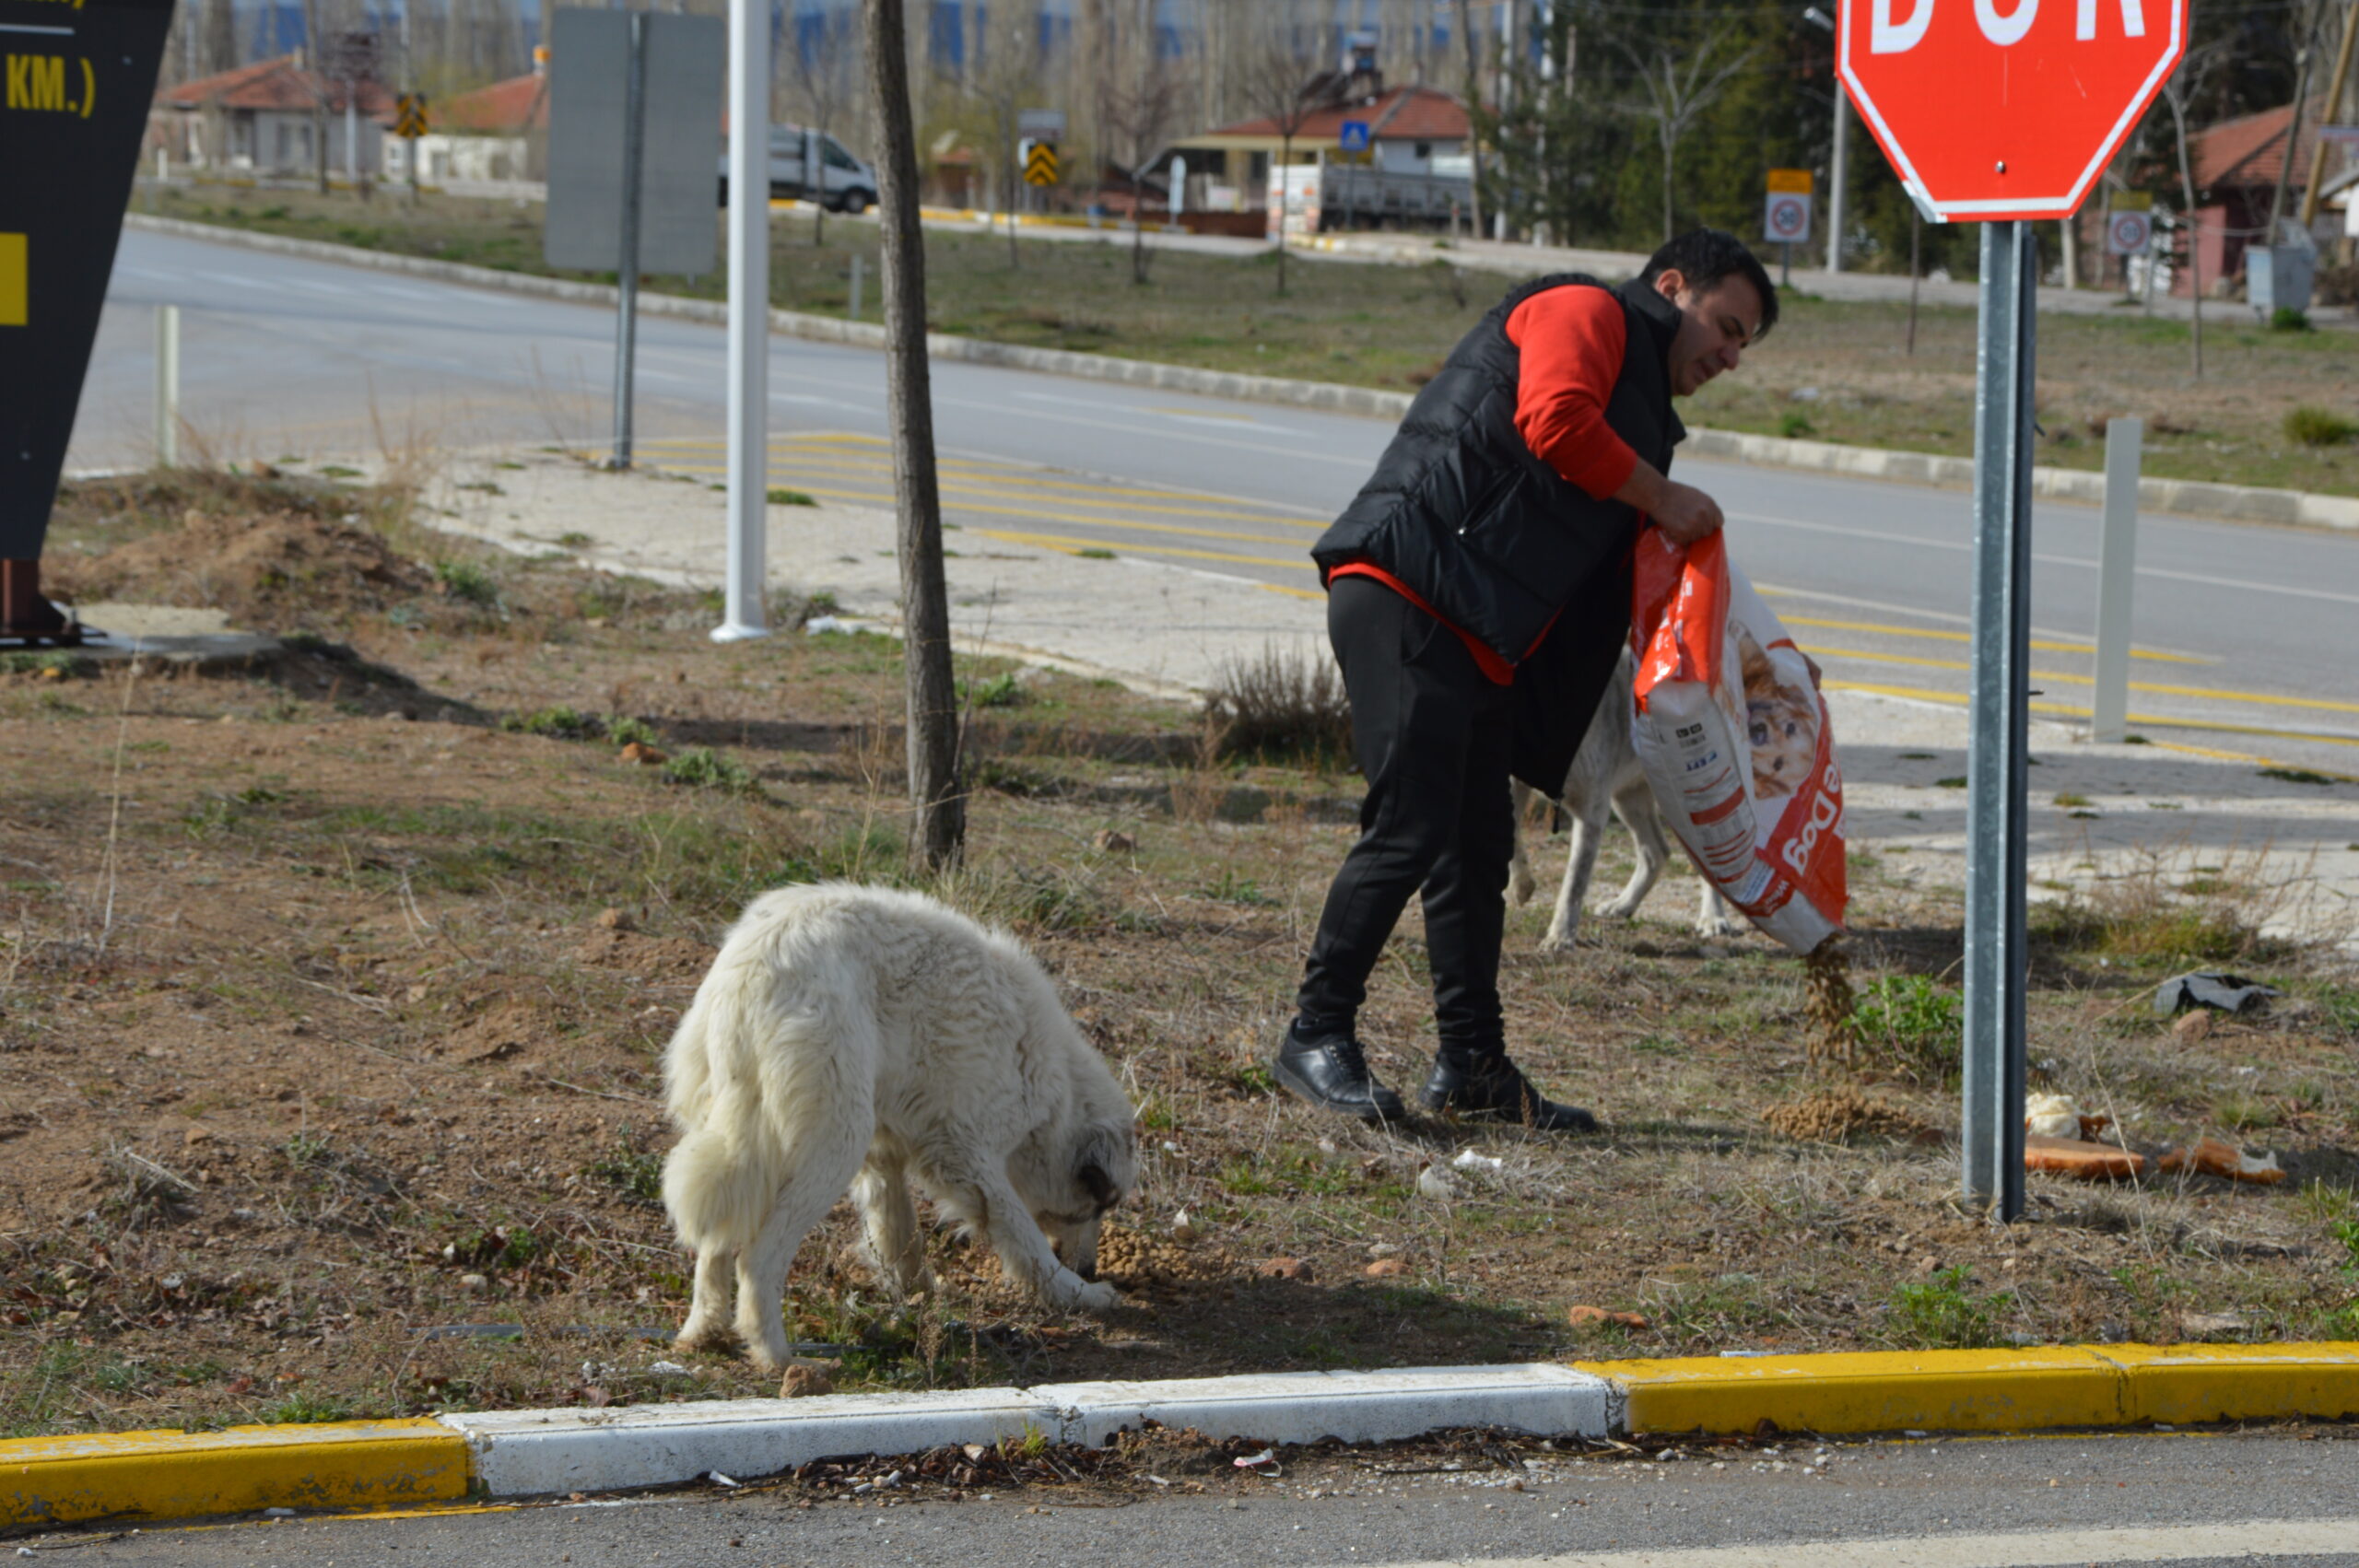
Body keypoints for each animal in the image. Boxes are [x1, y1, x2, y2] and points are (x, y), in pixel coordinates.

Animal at [664, 882, 1142, 1367]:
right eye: (1097, 1207)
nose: (1089, 1267)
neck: (1057, 1087)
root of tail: (757, 963)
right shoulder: (965, 1154)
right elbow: (1026, 1236)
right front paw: (1079, 1292)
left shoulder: (887, 1152)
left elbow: (898, 1233)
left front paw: (919, 1295)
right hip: (834, 1141)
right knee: (757, 1260)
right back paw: (779, 1357)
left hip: (744, 1136)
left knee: (716, 1240)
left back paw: (703, 1333)